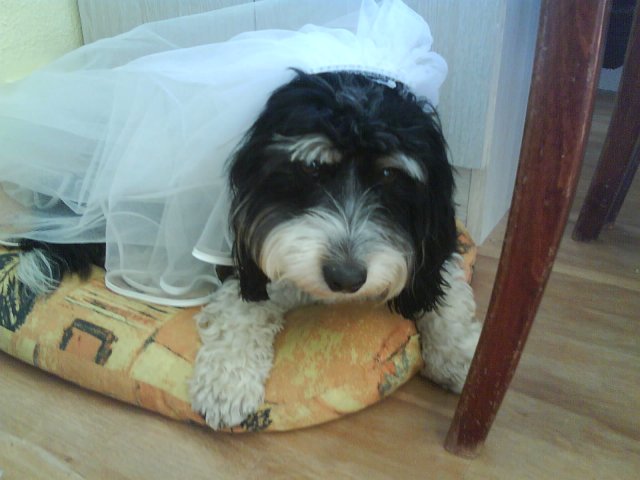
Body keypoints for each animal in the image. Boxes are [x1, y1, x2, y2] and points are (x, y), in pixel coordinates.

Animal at [15, 70, 481, 429]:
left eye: (388, 175)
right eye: (311, 168)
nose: (346, 278)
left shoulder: (439, 247)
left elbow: (446, 297)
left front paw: (463, 359)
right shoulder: (244, 258)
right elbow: (240, 314)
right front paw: (225, 386)